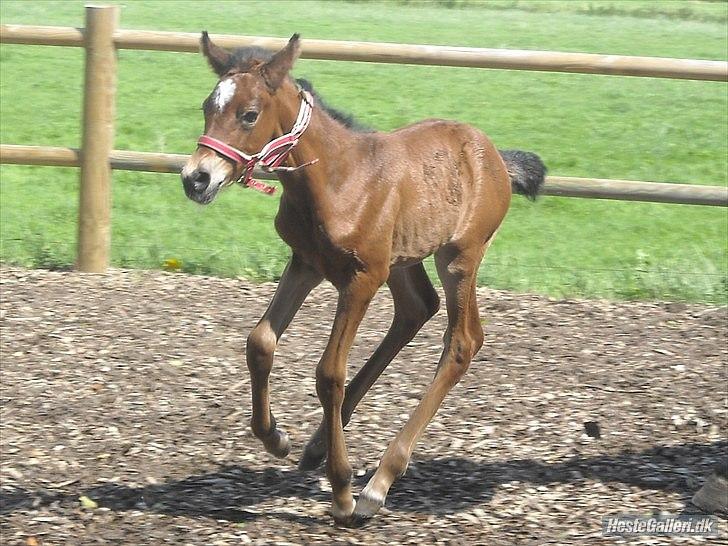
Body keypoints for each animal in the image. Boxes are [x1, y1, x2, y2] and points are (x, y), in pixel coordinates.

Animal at [182, 33, 544, 524]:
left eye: (249, 114)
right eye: (207, 106)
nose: (196, 178)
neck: (335, 180)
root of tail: (496, 157)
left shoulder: (361, 279)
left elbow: (329, 373)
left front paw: (342, 491)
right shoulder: (306, 263)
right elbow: (260, 343)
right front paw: (275, 437)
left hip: (458, 258)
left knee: (463, 340)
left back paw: (378, 483)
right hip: (403, 257)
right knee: (416, 308)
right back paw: (317, 447)